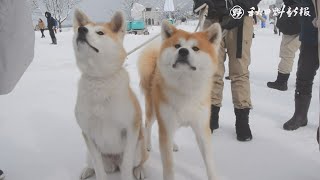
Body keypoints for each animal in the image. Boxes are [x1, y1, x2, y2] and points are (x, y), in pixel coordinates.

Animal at [72, 9, 148, 180]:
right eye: (82, 27)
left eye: (100, 32)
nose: (81, 30)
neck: (100, 80)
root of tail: (114, 163)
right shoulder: (88, 133)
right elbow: (98, 166)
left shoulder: (131, 129)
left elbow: (126, 165)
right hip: (91, 155)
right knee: (94, 164)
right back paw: (87, 170)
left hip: (139, 149)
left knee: (136, 162)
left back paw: (139, 170)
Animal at [138, 20, 222, 179]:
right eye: (177, 46)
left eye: (195, 48)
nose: (183, 51)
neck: (185, 87)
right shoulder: (166, 125)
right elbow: (169, 166)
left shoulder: (201, 128)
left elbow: (210, 163)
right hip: (154, 112)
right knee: (147, 125)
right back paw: (148, 145)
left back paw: (173, 144)